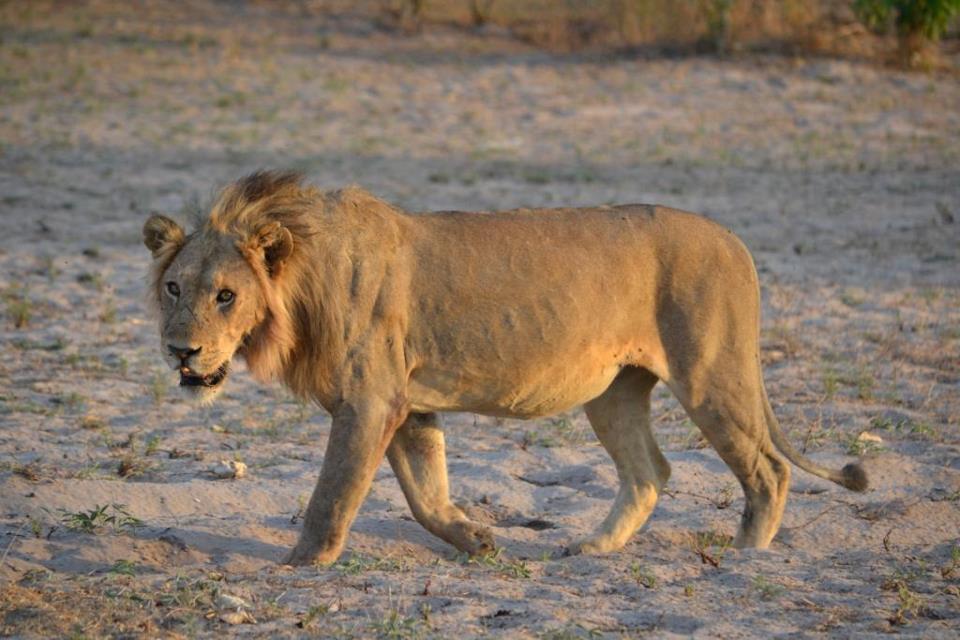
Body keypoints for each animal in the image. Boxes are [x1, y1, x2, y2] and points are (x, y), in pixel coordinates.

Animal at [143, 171, 868, 566]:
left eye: (225, 296)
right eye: (174, 288)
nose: (182, 350)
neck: (302, 282)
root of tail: (734, 238)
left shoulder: (370, 401)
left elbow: (331, 497)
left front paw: (299, 564)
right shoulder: (409, 405)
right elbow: (426, 496)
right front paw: (477, 538)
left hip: (712, 372)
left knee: (767, 468)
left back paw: (746, 558)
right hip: (614, 392)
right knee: (650, 472)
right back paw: (592, 550)